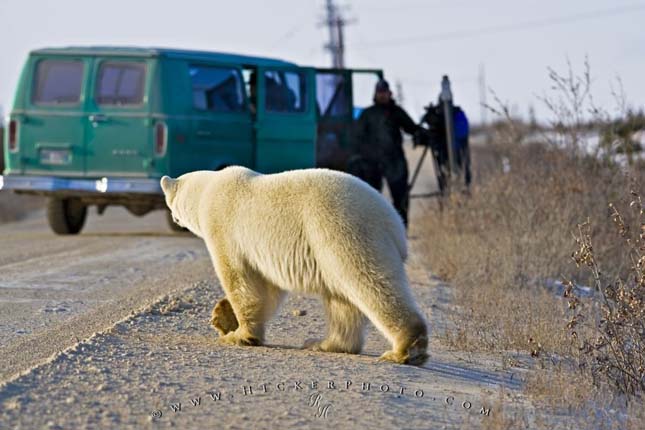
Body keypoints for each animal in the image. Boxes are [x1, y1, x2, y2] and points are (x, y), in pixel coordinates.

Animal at [160, 166, 428, 364]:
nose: (173, 218)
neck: (206, 190)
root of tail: (394, 222)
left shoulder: (224, 228)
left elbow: (240, 279)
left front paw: (239, 335)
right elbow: (267, 288)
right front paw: (222, 317)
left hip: (343, 231)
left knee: (369, 283)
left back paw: (405, 349)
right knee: (342, 300)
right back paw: (324, 343)